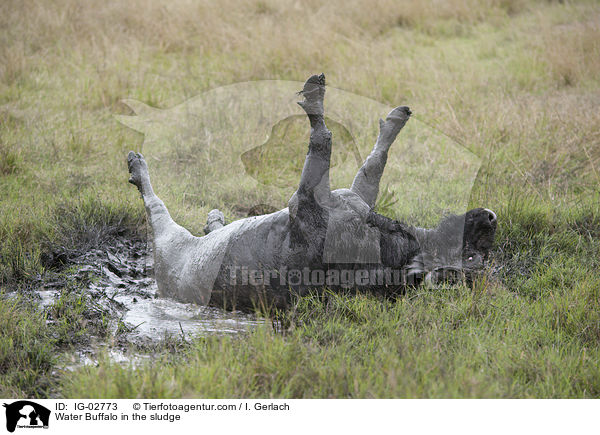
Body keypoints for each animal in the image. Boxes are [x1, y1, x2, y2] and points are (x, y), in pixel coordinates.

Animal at [126, 74, 496, 310]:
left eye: (471, 259)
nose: (491, 219)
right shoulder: (354, 196)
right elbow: (374, 161)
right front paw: (395, 118)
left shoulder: (307, 197)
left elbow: (323, 137)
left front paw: (315, 97)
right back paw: (213, 218)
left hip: (168, 240)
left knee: (154, 203)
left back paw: (138, 167)